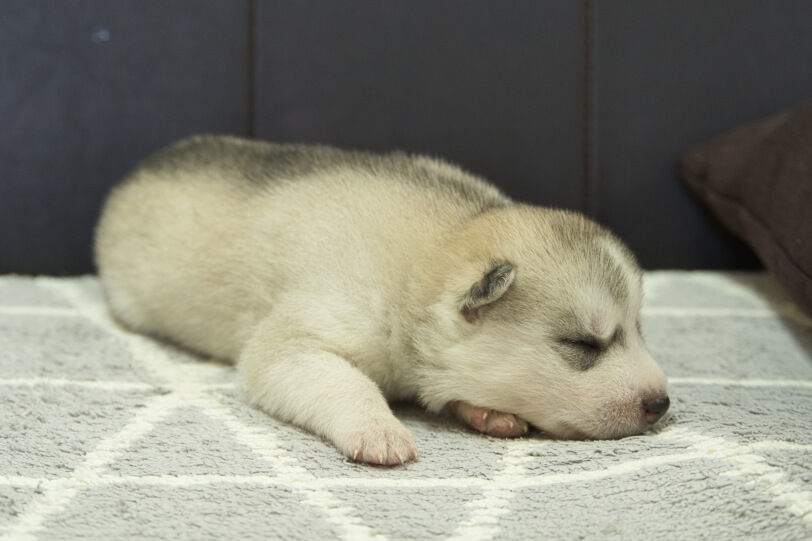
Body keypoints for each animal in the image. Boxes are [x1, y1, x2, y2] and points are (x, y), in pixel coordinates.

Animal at [95, 134, 668, 464]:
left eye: (640, 329)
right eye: (582, 344)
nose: (661, 402)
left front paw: (486, 413)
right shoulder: (297, 342)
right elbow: (345, 383)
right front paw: (378, 429)